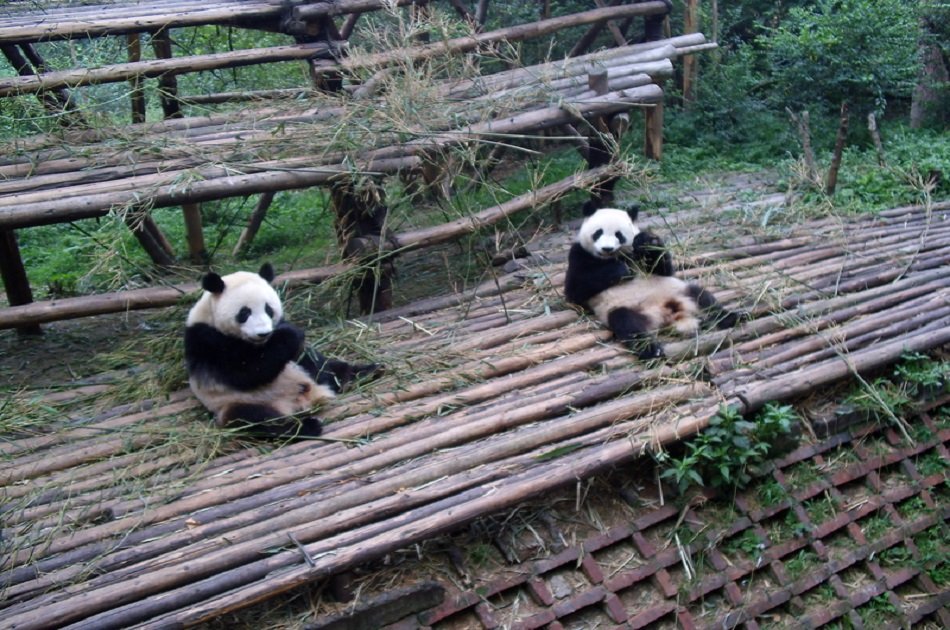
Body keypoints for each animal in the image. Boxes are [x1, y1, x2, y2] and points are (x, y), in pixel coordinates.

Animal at [184, 262, 379, 439]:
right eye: (244, 313)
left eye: (268, 309)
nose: (263, 333)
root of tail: (306, 400)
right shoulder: (207, 342)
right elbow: (246, 372)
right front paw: (289, 334)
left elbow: (306, 356)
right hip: (237, 402)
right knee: (257, 419)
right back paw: (305, 427)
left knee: (329, 367)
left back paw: (365, 372)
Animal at [563, 204, 739, 359]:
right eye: (598, 233)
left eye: (619, 235)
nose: (607, 248)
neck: (611, 257)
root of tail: (667, 314)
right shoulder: (578, 255)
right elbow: (575, 290)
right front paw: (622, 270)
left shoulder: (640, 257)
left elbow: (664, 268)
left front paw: (648, 242)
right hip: (625, 308)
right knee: (627, 324)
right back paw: (651, 350)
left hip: (679, 291)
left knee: (702, 296)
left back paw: (730, 317)